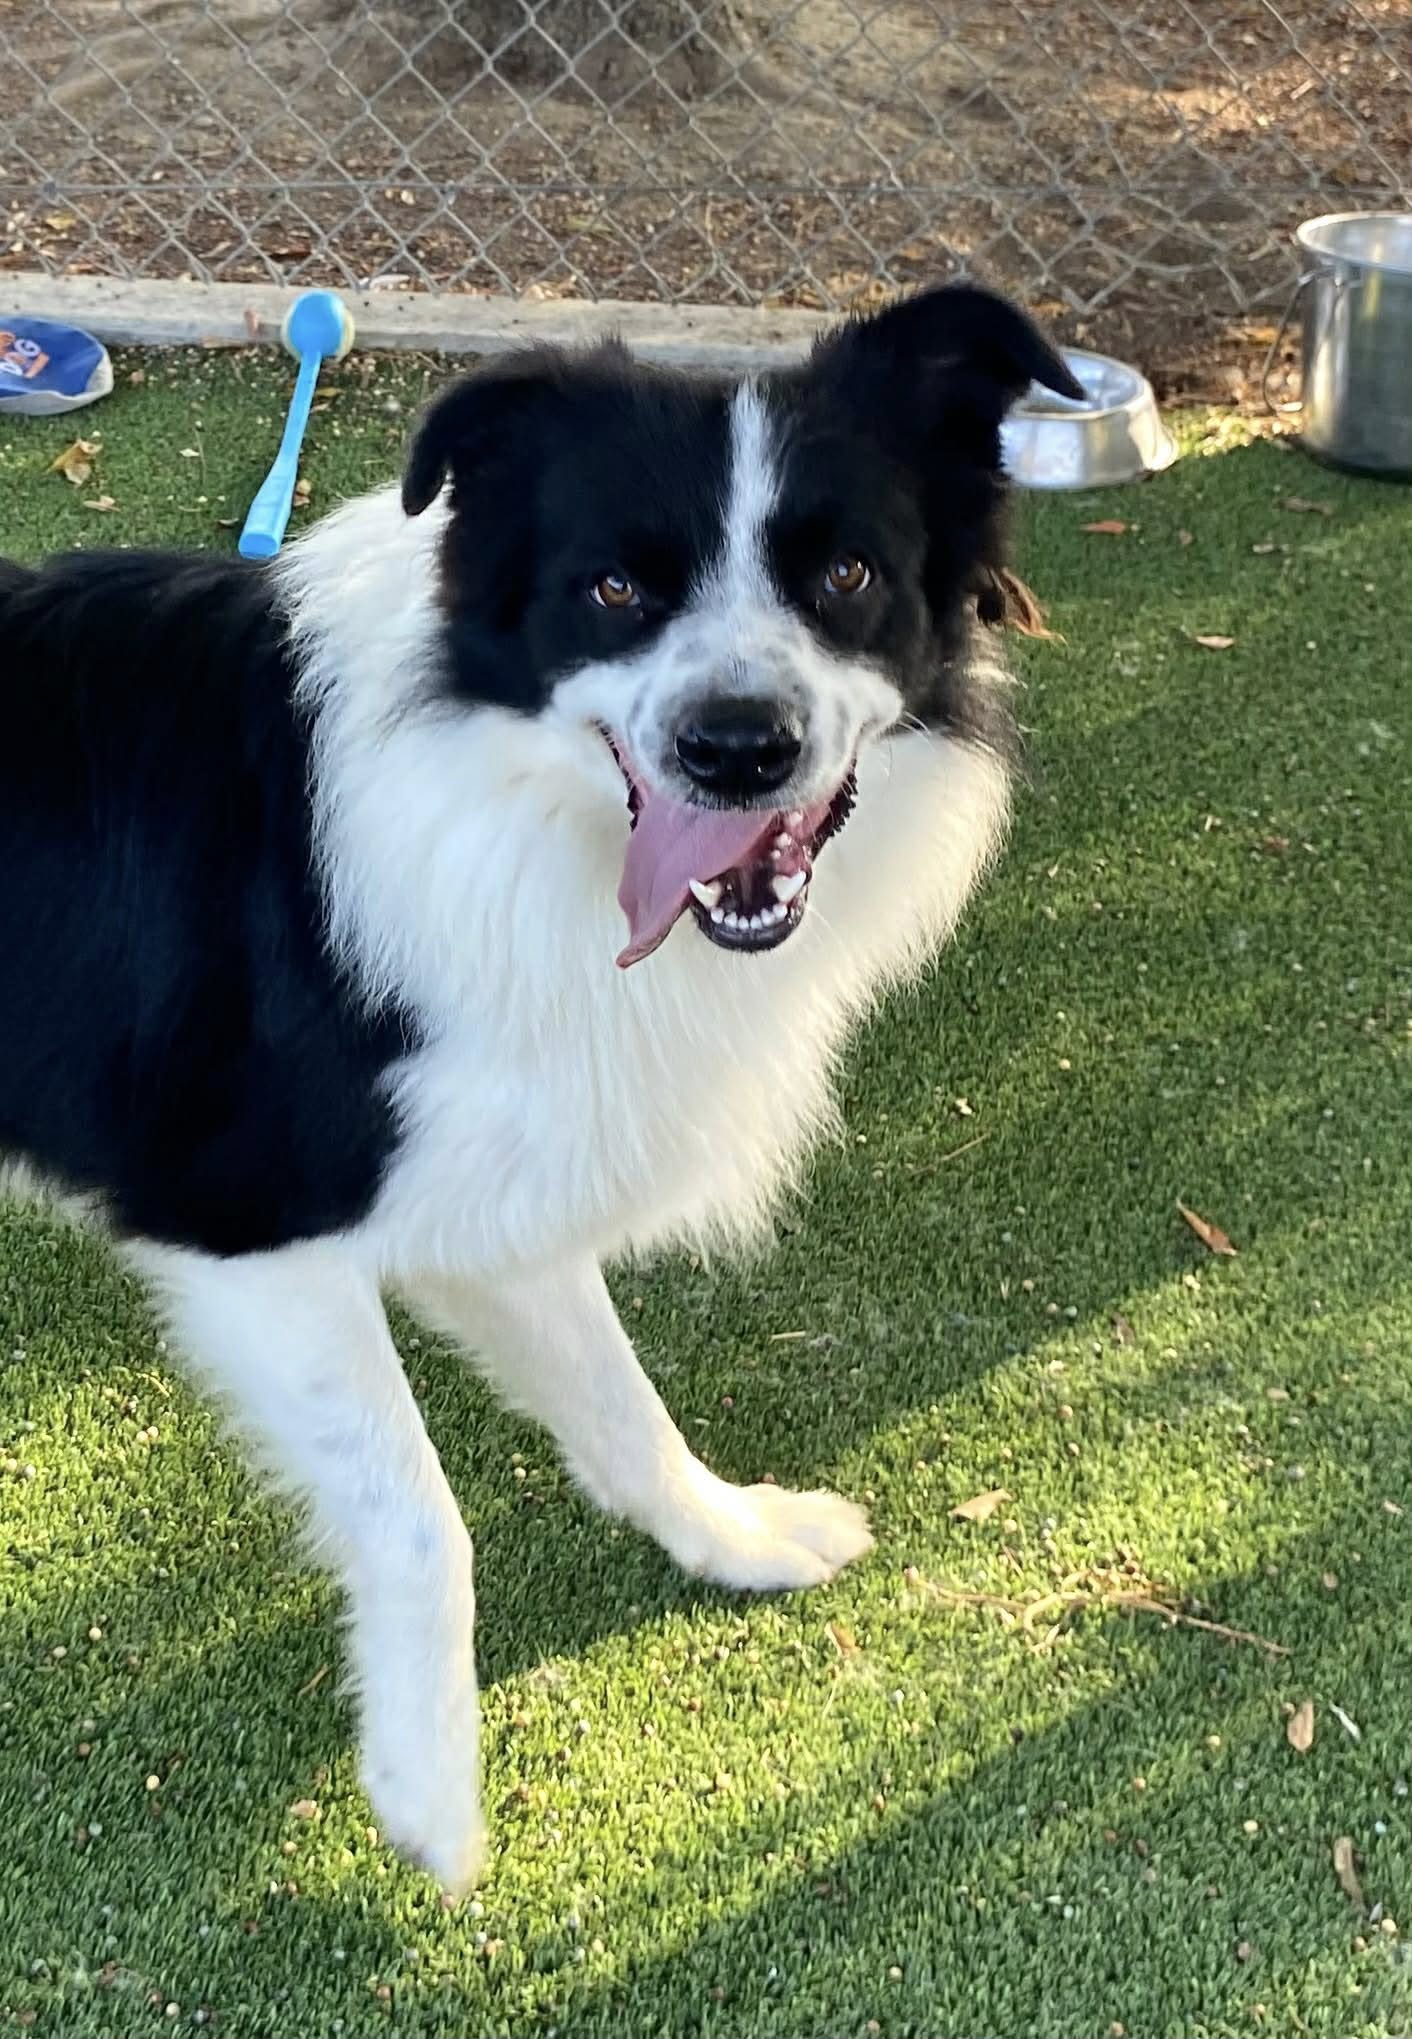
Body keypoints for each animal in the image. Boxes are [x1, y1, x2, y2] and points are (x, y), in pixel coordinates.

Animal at [0, 282, 1080, 1887]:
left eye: (845, 572)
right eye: (614, 588)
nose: (736, 747)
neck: (506, 793)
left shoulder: (500, 1195)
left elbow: (624, 1407)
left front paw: (737, 1536)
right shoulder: (246, 1228)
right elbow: (418, 1516)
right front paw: (429, 1795)